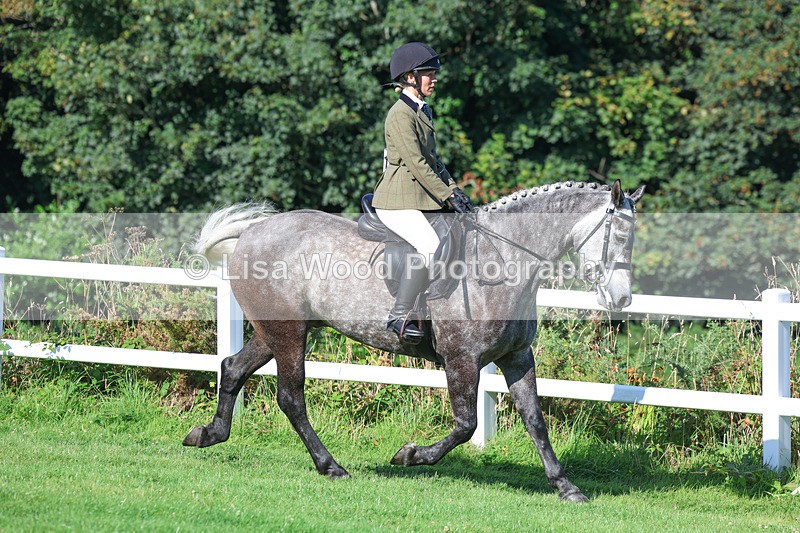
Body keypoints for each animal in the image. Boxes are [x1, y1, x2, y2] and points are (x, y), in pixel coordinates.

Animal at [183, 179, 644, 502]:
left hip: (276, 332)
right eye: (618, 238)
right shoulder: (461, 358)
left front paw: (566, 487)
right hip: (288, 334)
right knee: (291, 397)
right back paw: (330, 466)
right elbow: (465, 425)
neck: (501, 261)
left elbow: (535, 421)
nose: (622, 300)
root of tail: (252, 233)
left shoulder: (516, 357)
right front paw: (409, 455)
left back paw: (208, 434)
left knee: (233, 368)